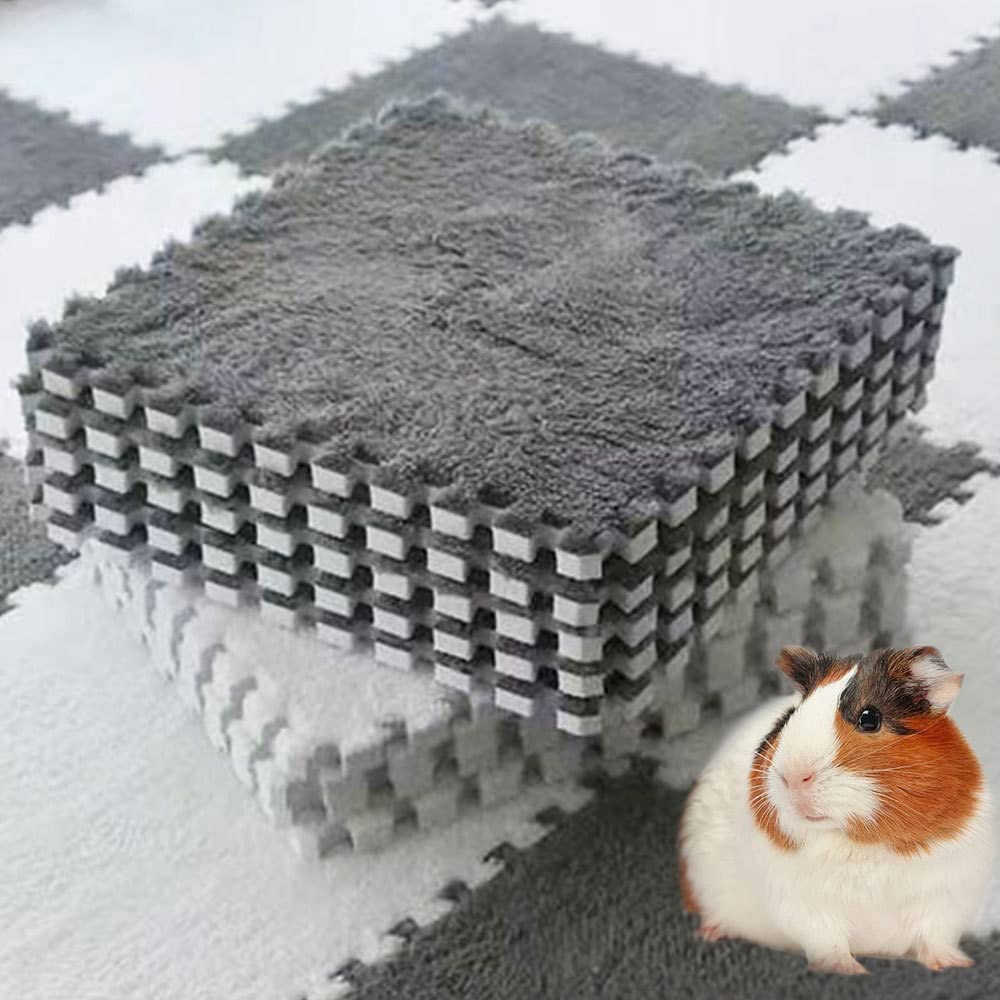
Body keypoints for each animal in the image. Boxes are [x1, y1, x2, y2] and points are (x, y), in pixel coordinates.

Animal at [678, 645, 993, 975]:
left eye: (869, 718)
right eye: (792, 715)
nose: (792, 776)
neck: (860, 841)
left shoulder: (945, 897)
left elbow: (935, 937)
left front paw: (955, 964)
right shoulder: (806, 907)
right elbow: (828, 943)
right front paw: (848, 970)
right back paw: (711, 932)